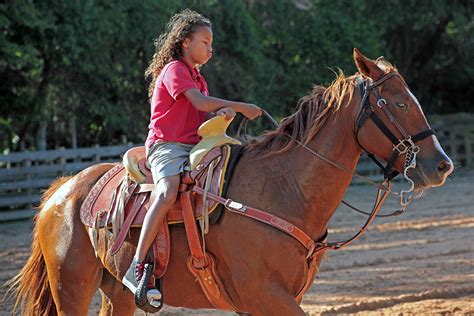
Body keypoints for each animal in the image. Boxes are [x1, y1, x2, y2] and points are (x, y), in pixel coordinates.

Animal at [6, 49, 452, 314]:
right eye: (397, 103)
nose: (442, 165)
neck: (283, 190)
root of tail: (62, 191)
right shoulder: (267, 295)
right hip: (71, 287)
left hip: (114, 292)